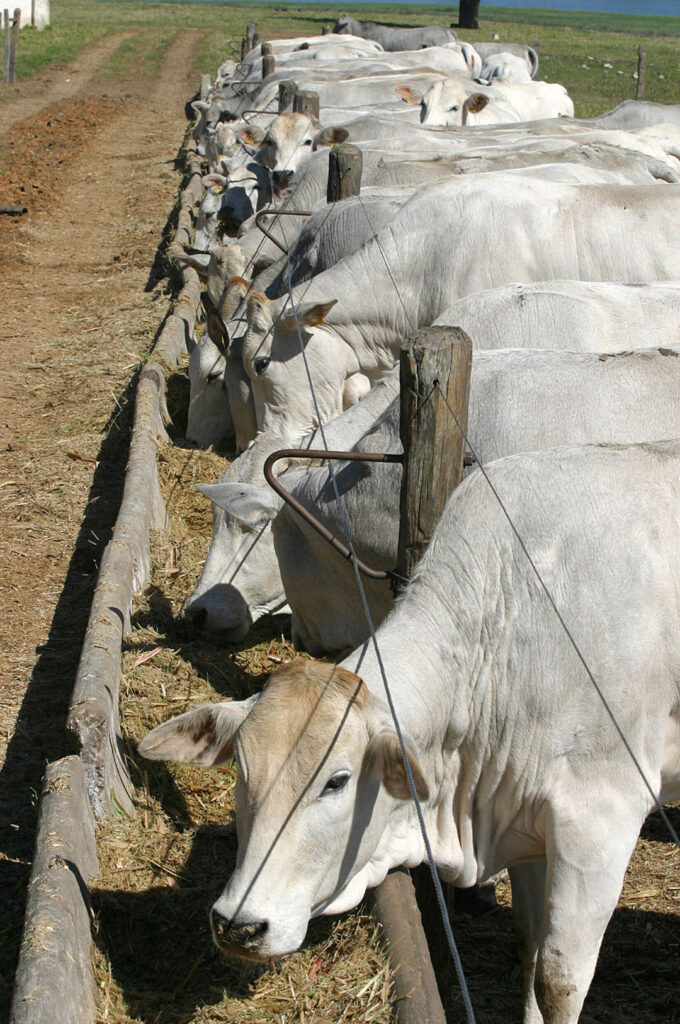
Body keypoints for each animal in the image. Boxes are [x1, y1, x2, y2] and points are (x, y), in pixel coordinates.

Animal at [138, 438, 680, 1024]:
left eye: (337, 781)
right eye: (240, 769)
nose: (239, 925)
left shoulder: (600, 821)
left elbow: (558, 982)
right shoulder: (530, 819)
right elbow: (531, 949)